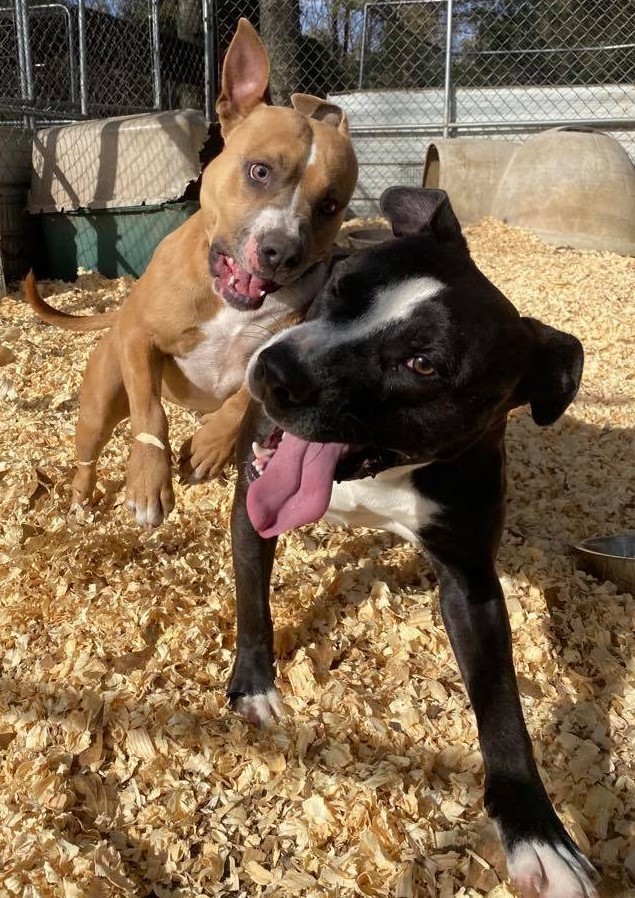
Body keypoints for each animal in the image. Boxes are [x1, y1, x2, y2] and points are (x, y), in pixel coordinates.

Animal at [24, 19, 360, 524]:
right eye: (259, 171)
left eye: (330, 206)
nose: (281, 252)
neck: (229, 303)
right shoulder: (140, 339)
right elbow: (150, 413)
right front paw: (147, 482)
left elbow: (242, 399)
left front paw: (210, 445)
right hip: (99, 405)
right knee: (88, 455)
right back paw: (81, 501)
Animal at [227, 187, 596, 896]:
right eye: (341, 287)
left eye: (422, 364)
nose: (275, 370)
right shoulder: (251, 501)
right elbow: (254, 606)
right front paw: (254, 686)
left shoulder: (471, 583)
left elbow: (501, 703)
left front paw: (537, 831)